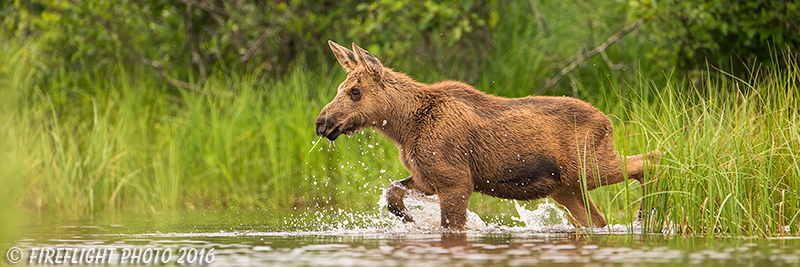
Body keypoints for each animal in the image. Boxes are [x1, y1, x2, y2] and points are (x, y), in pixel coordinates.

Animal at [316, 40, 660, 231]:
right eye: (340, 88)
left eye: (355, 91)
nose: (322, 123)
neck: (403, 127)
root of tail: (607, 122)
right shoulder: (428, 178)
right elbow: (392, 193)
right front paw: (408, 218)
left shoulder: (455, 181)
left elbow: (452, 226)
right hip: (565, 188)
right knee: (598, 221)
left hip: (590, 167)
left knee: (651, 159)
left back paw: (648, 213)